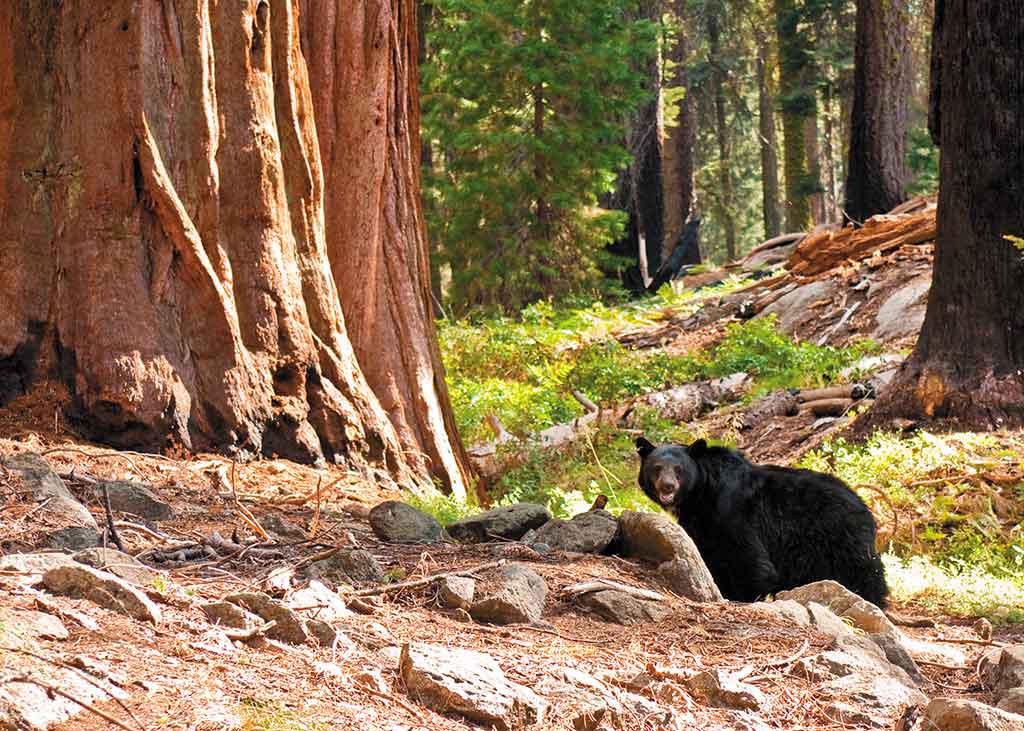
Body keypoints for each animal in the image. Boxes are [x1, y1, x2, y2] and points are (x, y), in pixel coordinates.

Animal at [634, 436, 884, 606]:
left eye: (679, 469)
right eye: (656, 468)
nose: (667, 487)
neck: (701, 493)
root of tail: (865, 508)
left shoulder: (732, 512)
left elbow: (750, 559)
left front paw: (742, 596)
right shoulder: (702, 524)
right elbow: (708, 555)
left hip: (839, 539)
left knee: (864, 574)